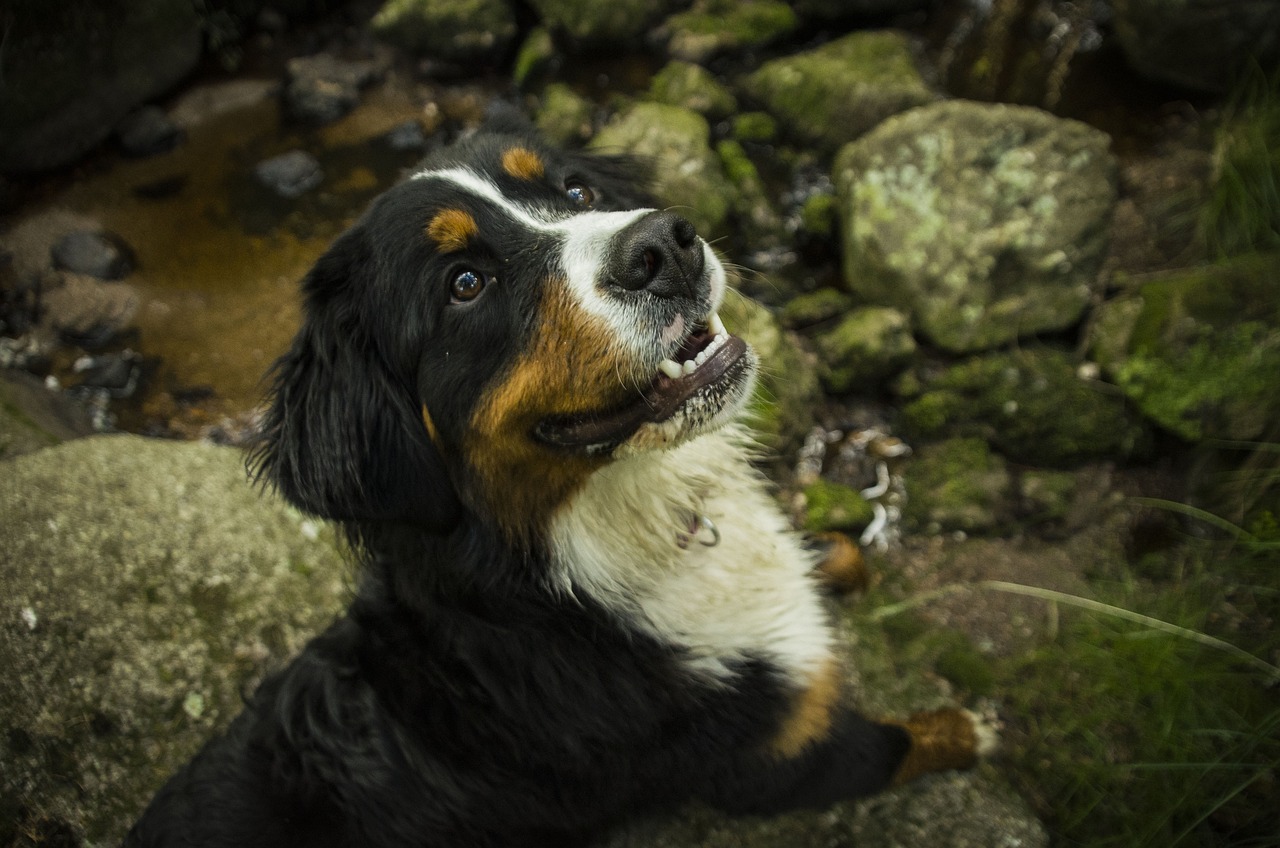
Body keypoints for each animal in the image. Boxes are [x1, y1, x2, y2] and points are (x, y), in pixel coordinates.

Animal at [124, 114, 993, 848]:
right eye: (464, 283)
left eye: (576, 192)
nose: (665, 245)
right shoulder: (780, 756)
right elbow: (893, 745)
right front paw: (968, 729)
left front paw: (842, 558)